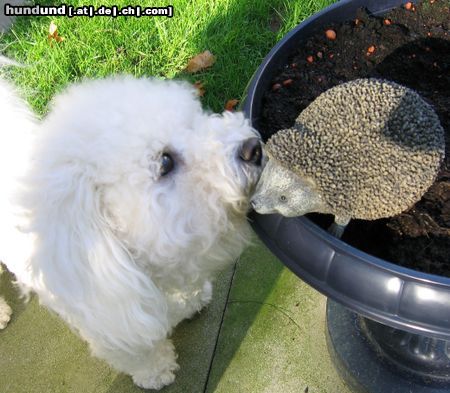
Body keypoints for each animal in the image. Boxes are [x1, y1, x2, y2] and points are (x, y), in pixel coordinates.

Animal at [0, 75, 264, 388]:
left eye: (194, 119)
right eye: (165, 162)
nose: (253, 147)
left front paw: (192, 301)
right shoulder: (112, 328)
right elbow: (140, 353)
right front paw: (156, 373)